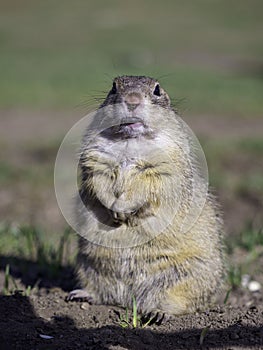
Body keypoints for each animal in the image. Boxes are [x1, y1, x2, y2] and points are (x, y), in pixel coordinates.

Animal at [67, 75, 226, 316]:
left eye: (157, 90)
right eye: (113, 87)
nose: (132, 100)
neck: (131, 140)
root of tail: (128, 300)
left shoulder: (167, 160)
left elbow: (152, 182)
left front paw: (123, 209)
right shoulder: (95, 154)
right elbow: (97, 177)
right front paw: (114, 210)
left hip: (188, 277)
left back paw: (159, 312)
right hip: (86, 265)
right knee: (103, 292)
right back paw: (81, 294)